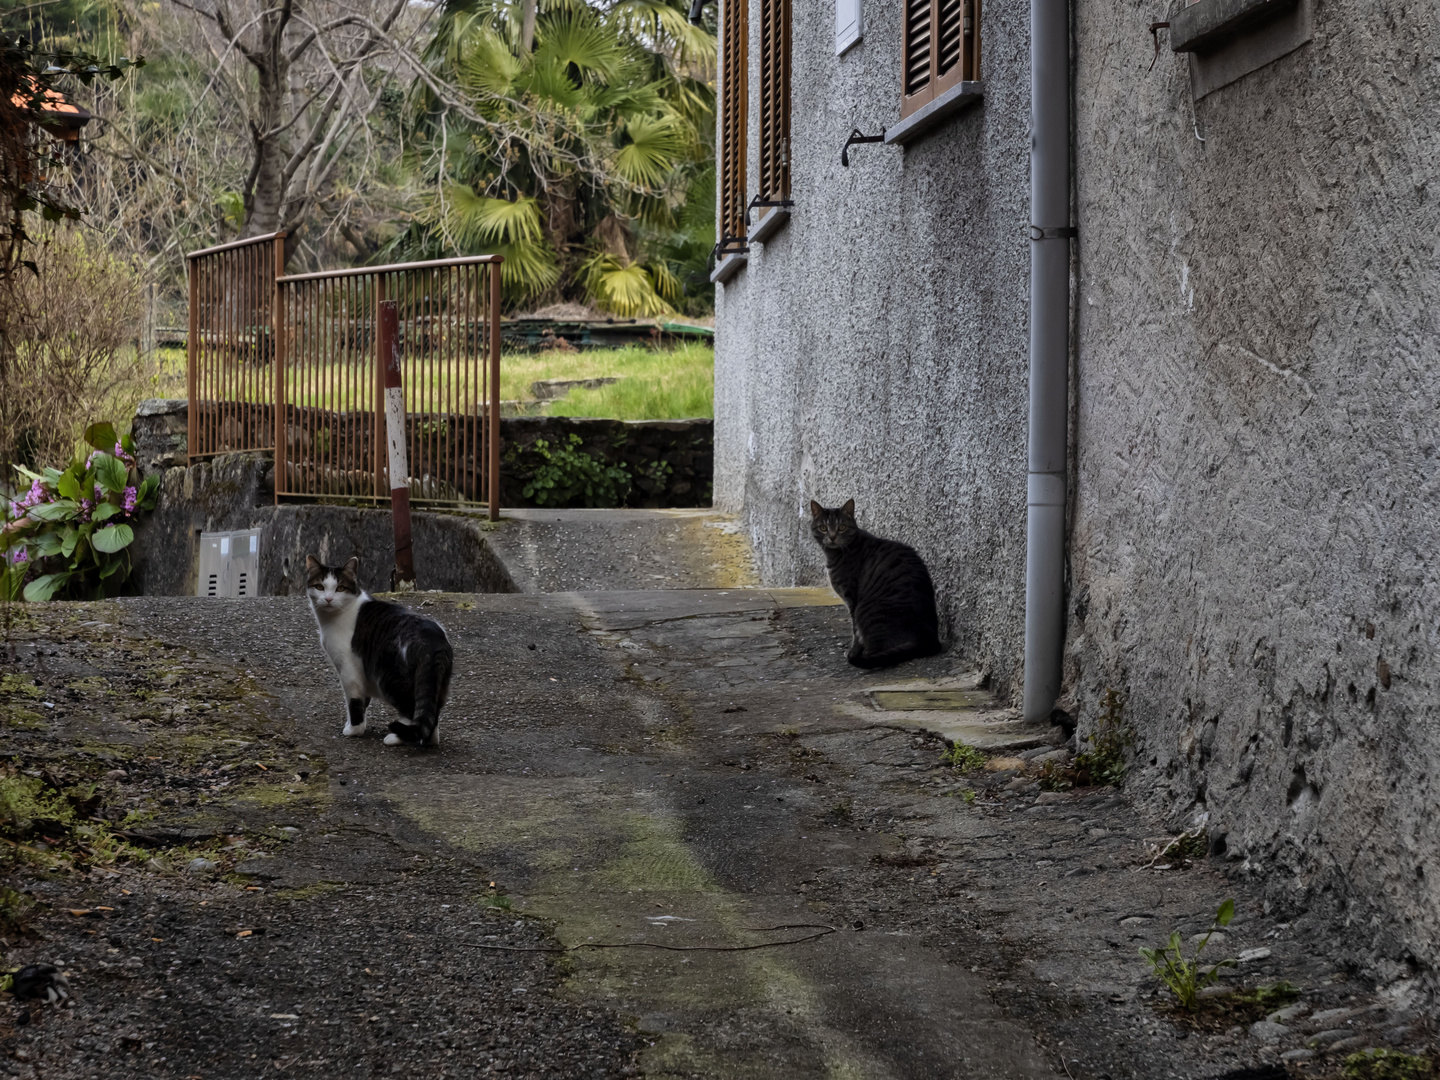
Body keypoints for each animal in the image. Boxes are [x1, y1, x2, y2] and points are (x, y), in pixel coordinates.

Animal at [306, 552, 452, 748]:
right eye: (320, 587)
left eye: (340, 588)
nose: (328, 599)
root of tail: (432, 639)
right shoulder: (362, 672)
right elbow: (364, 701)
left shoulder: (349, 670)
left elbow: (354, 703)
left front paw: (354, 730)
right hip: (437, 683)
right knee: (430, 716)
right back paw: (428, 740)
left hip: (390, 678)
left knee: (410, 709)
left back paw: (396, 737)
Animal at [812, 498, 944, 668]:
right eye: (823, 528)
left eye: (842, 527)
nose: (833, 536)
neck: (836, 553)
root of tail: (929, 639)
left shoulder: (851, 599)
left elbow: (855, 632)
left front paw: (853, 652)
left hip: (866, 610)